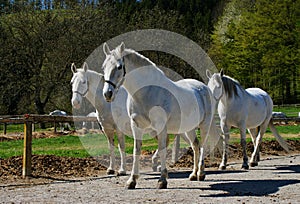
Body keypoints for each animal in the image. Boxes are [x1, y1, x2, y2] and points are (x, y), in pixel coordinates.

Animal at [102, 42, 219, 189]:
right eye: (104, 67)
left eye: (119, 66)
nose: (107, 94)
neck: (146, 92)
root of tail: (204, 88)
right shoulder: (136, 126)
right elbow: (136, 151)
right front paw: (132, 180)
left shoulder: (161, 126)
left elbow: (162, 150)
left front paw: (162, 180)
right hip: (189, 128)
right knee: (195, 146)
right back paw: (193, 174)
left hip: (204, 125)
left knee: (202, 146)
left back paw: (201, 174)